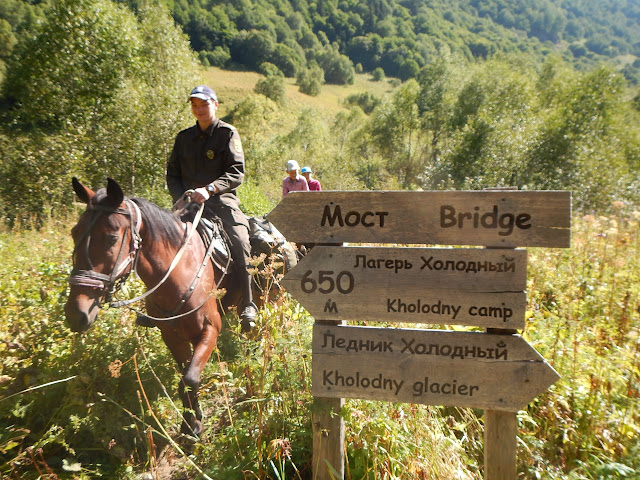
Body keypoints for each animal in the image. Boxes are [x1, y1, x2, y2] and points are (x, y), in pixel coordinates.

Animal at [63, 177, 239, 438]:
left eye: (112, 238)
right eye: (74, 233)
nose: (76, 314)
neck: (180, 274)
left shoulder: (210, 329)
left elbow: (190, 379)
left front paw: (194, 426)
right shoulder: (172, 335)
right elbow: (184, 378)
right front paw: (190, 422)